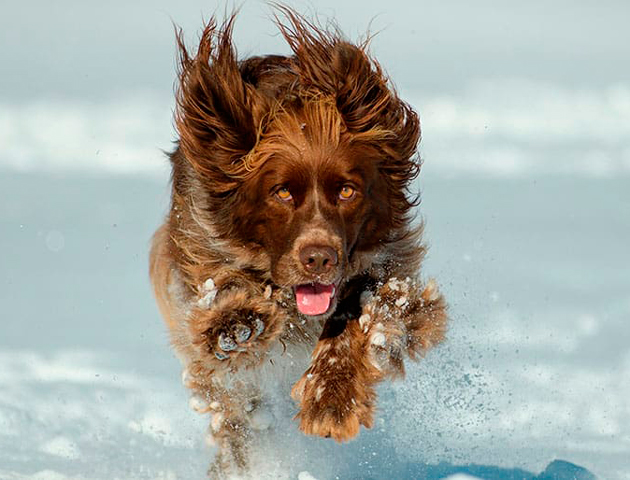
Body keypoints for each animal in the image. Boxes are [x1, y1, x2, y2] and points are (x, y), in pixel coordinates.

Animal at [151, 6, 450, 476]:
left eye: (347, 190)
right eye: (282, 192)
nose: (319, 259)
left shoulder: (392, 267)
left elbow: (366, 308)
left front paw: (332, 398)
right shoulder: (200, 255)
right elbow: (222, 302)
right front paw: (237, 323)